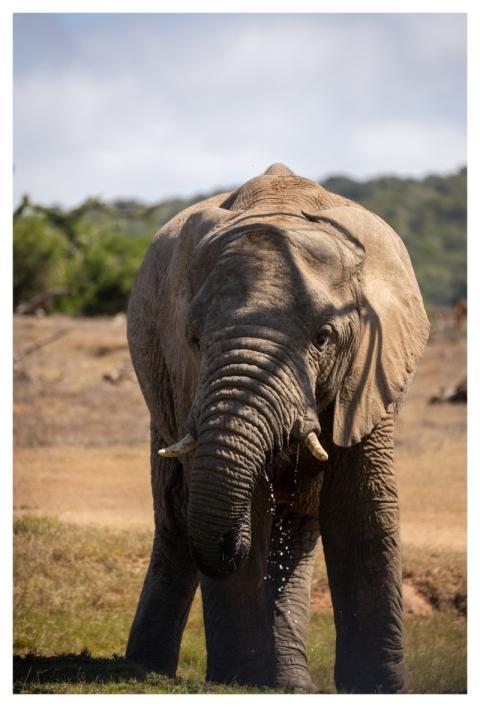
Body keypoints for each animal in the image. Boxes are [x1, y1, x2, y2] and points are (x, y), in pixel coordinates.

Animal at [125, 163, 429, 693]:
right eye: (194, 339)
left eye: (323, 338)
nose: (233, 545)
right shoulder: (185, 375)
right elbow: (245, 503)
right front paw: (237, 682)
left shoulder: (370, 370)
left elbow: (361, 508)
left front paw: (379, 687)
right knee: (175, 516)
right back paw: (145, 670)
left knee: (300, 525)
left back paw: (290, 683)